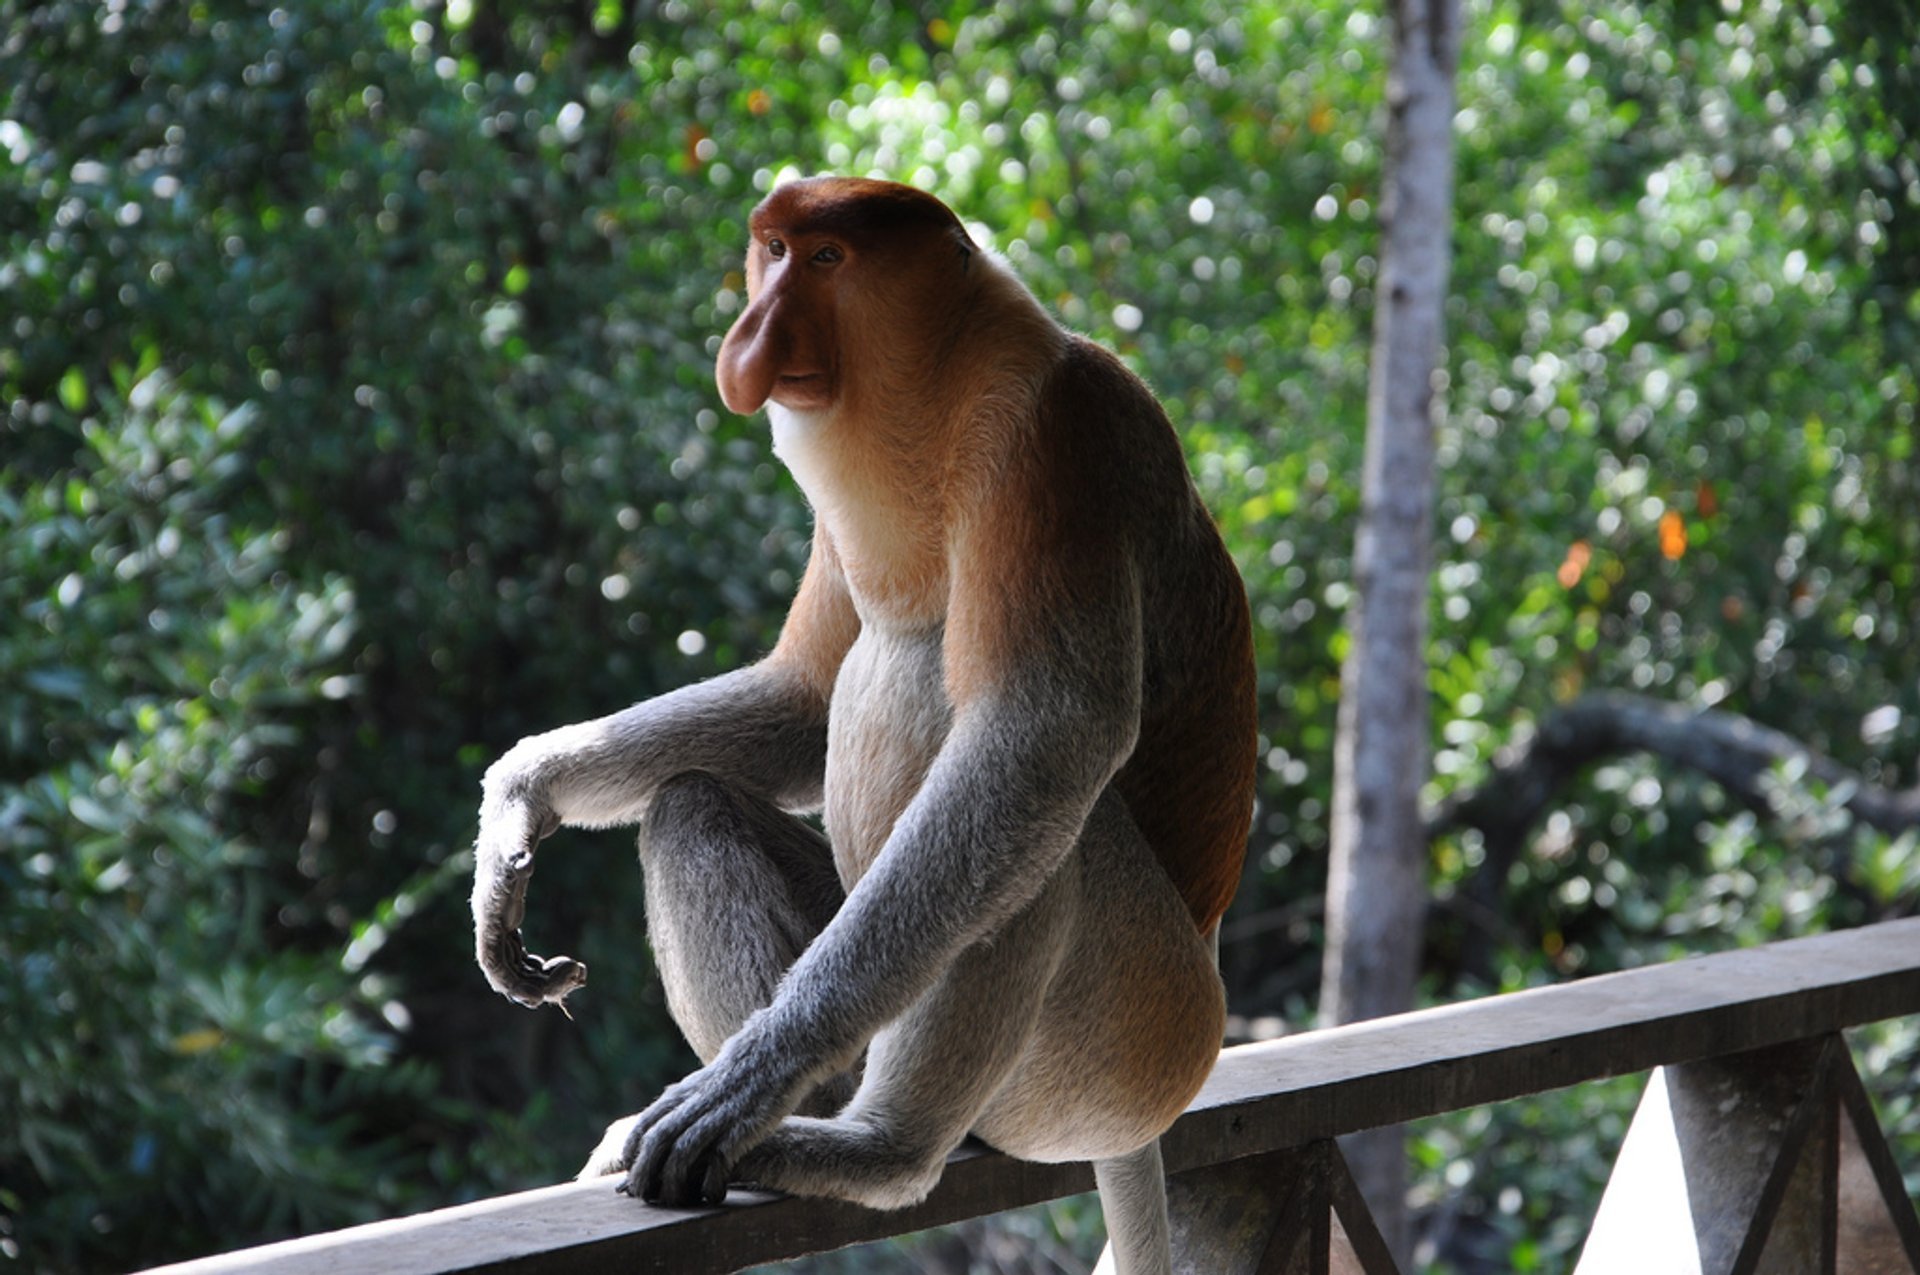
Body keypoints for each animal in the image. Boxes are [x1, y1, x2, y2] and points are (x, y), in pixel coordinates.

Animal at [474, 174, 1259, 1267]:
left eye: (828, 261)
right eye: (770, 250)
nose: (749, 335)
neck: (941, 378)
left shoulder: (1058, 441)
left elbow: (1044, 735)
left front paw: (752, 1078)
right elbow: (805, 700)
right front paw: (517, 808)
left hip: (1134, 1039)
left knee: (1024, 801)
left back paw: (870, 1146)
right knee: (691, 806)